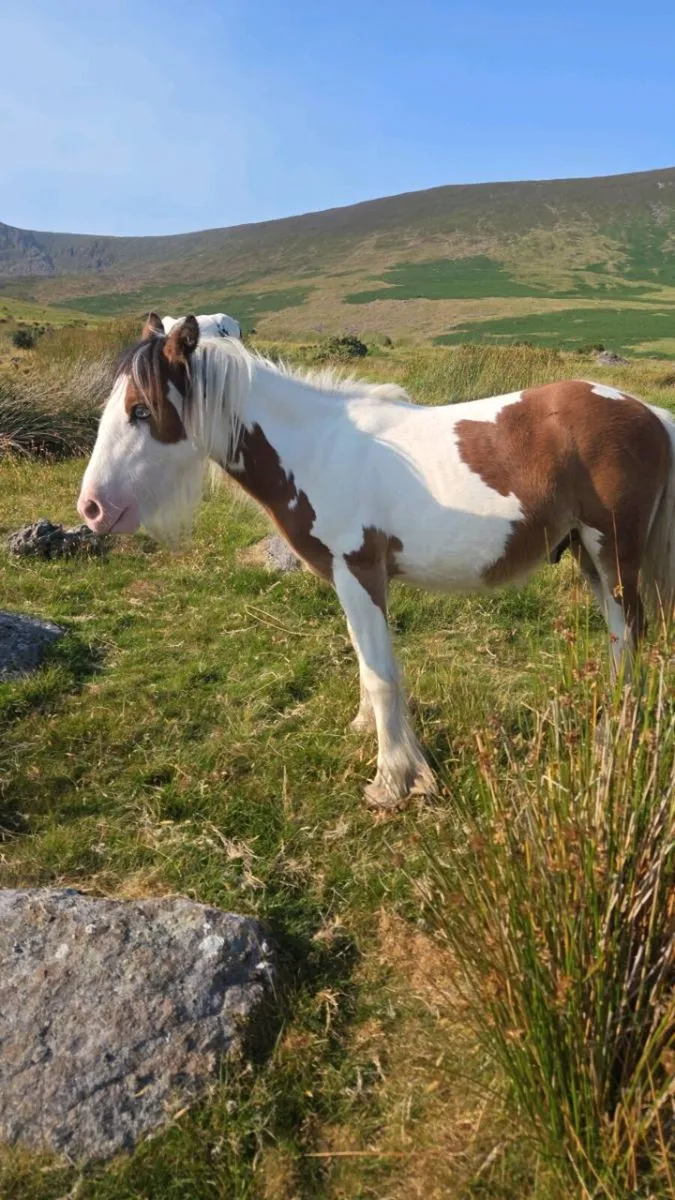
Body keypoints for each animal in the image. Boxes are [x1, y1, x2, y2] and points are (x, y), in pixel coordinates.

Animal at [77, 313, 675, 809]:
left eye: (141, 410)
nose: (92, 509)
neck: (315, 449)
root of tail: (650, 412)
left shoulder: (359, 571)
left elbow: (382, 674)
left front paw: (394, 782)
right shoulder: (347, 581)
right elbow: (367, 664)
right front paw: (369, 732)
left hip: (612, 554)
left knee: (630, 638)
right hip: (590, 557)